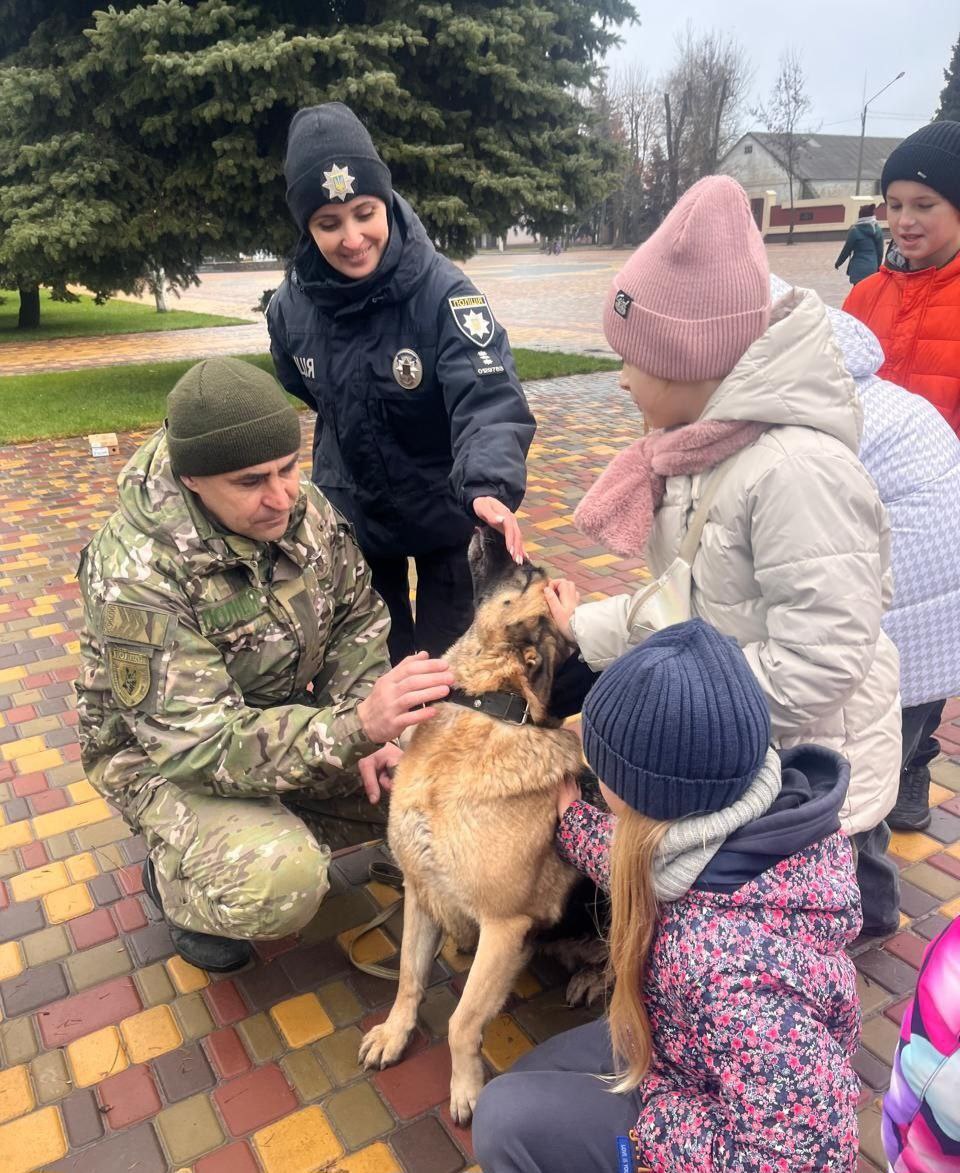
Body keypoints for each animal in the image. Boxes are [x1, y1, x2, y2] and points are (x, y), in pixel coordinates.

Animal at [359, 527, 584, 1121]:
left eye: (527, 574)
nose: (489, 524)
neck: (487, 705)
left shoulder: (505, 929)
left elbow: (462, 1022)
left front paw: (465, 1088)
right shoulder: (419, 890)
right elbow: (409, 978)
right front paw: (395, 1033)